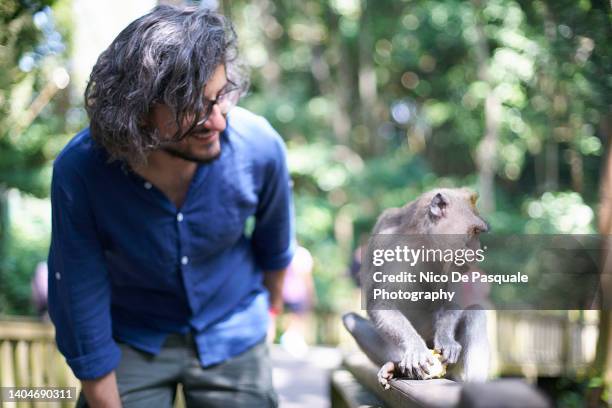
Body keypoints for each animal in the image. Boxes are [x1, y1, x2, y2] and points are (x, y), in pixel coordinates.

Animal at [344, 188, 492, 388]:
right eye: (474, 232)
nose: (478, 250)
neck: (423, 241)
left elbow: (451, 301)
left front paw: (446, 340)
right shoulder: (384, 241)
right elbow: (382, 303)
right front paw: (415, 348)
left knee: (476, 312)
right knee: (350, 319)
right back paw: (396, 366)